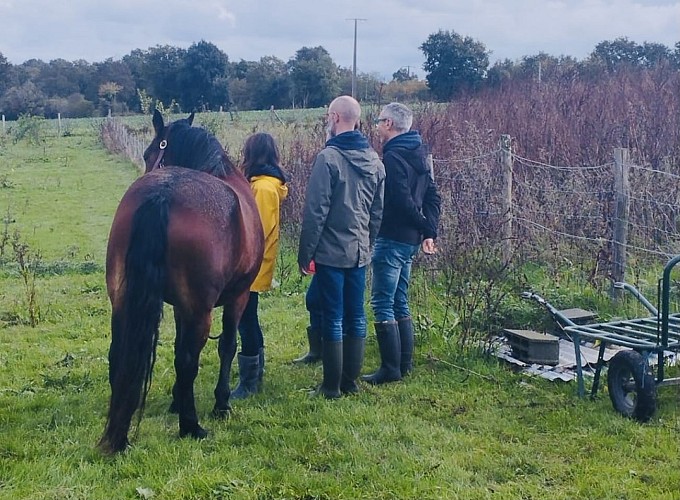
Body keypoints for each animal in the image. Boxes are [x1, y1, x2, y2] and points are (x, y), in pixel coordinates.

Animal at [99, 111, 264, 456]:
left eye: (149, 153)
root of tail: (163, 192)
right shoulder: (237, 297)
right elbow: (227, 347)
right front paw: (221, 404)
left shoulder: (179, 306)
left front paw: (176, 400)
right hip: (202, 310)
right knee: (189, 359)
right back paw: (191, 426)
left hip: (121, 299)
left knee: (118, 353)